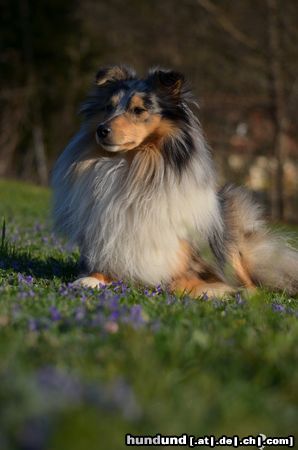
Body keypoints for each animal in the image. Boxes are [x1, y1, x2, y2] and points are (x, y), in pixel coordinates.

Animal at [51, 65, 298, 298]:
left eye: (138, 110)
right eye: (109, 107)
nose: (101, 130)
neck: (133, 168)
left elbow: (179, 282)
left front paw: (217, 290)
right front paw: (90, 279)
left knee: (251, 285)